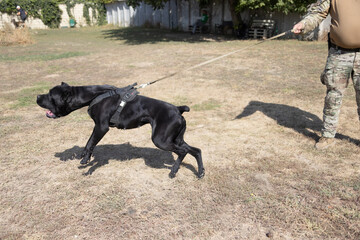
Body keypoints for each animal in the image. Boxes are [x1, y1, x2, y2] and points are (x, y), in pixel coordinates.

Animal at [37, 82, 205, 178]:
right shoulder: (97, 127)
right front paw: (85, 156)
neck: (92, 95)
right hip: (176, 138)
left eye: (50, 95)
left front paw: (86, 163)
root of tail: (178, 109)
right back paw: (200, 172)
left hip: (161, 140)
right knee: (195, 150)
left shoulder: (101, 127)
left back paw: (174, 171)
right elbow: (89, 141)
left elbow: (91, 142)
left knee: (183, 152)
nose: (38, 96)